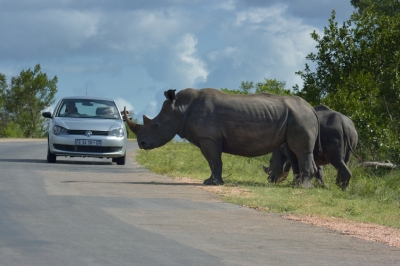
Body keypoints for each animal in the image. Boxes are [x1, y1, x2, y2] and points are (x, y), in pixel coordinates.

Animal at [123, 88, 320, 188]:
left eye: (156, 125)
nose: (141, 143)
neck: (180, 109)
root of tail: (311, 108)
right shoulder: (207, 138)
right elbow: (212, 162)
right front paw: (209, 181)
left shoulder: (209, 138)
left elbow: (214, 160)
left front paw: (214, 183)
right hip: (298, 116)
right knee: (295, 152)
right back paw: (299, 186)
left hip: (300, 117)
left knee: (300, 151)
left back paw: (302, 187)